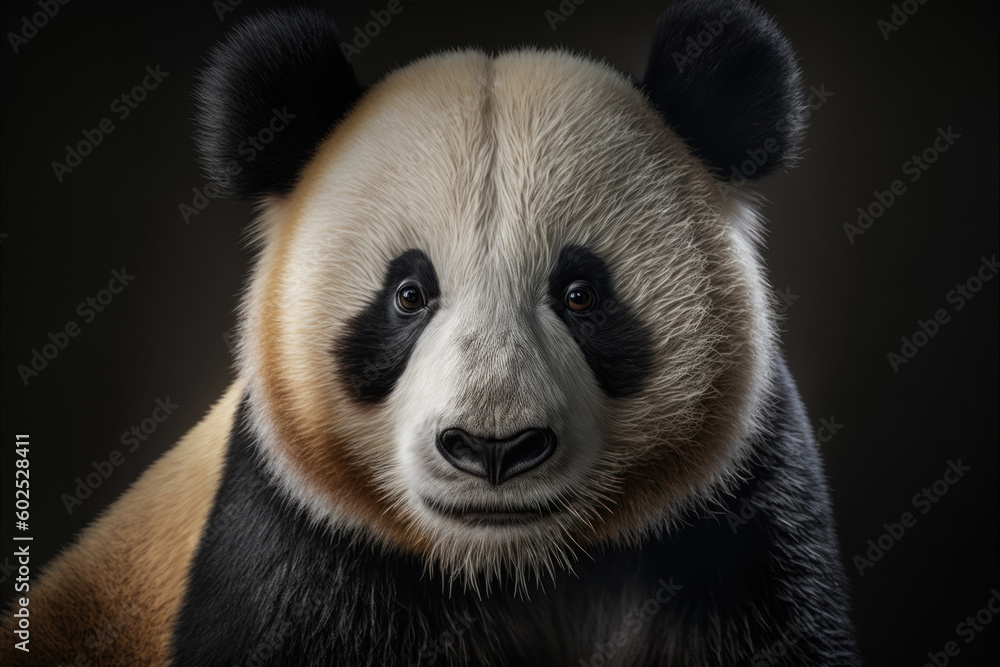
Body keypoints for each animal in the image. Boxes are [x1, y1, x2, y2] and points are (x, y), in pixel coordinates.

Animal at [2, 1, 860, 665]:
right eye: (409, 294)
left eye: (581, 294)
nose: (493, 448)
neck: (511, 566)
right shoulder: (300, 540)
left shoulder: (736, 528)